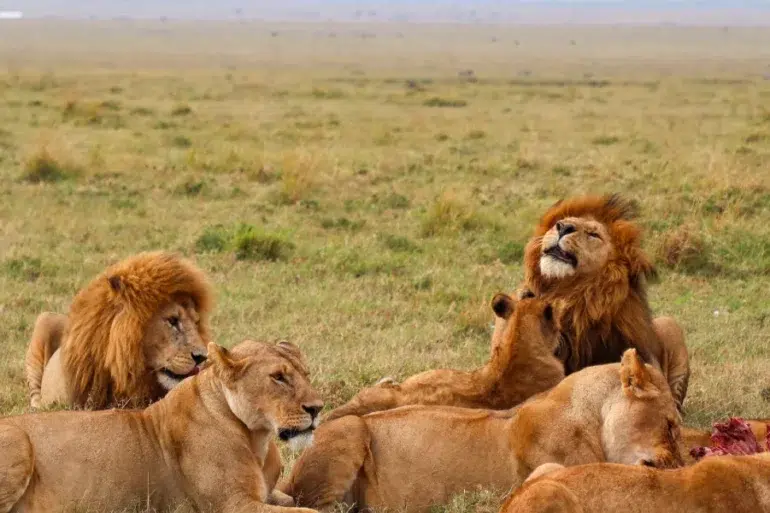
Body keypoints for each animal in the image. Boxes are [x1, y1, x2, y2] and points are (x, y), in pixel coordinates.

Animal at [0, 339, 324, 513]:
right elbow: (309, 512)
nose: (317, 408)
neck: (258, 439)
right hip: (18, 443)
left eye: (305, 374)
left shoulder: (264, 496)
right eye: (278, 377)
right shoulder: (233, 505)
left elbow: (296, 500)